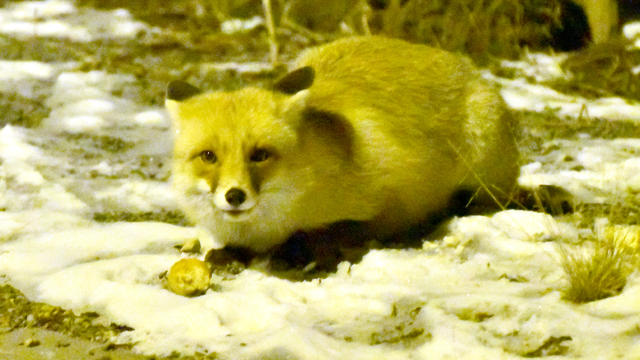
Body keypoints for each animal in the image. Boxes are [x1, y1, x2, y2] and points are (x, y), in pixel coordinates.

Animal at [164, 34, 520, 253]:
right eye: (208, 156)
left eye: (260, 155)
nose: (235, 195)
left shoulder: (399, 199)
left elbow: (342, 230)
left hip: (484, 170)